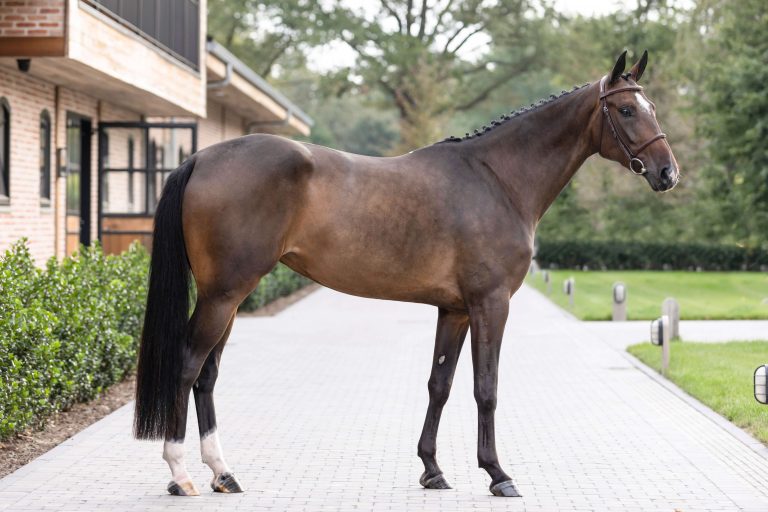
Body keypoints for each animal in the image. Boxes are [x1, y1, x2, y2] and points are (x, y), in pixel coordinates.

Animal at [134, 51, 680, 496]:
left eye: (650, 106)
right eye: (627, 110)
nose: (667, 172)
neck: (497, 179)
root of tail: (201, 157)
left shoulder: (455, 310)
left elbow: (440, 383)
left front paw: (432, 470)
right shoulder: (491, 304)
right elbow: (486, 387)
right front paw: (497, 474)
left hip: (228, 296)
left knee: (207, 376)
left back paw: (223, 474)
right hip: (223, 294)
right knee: (188, 366)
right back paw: (181, 475)